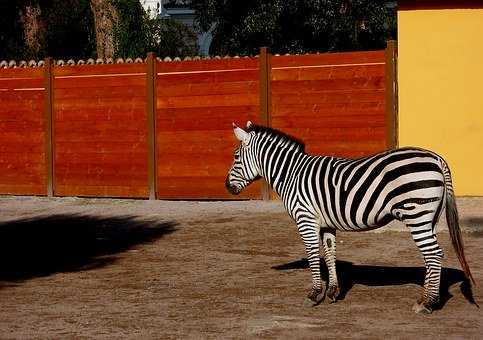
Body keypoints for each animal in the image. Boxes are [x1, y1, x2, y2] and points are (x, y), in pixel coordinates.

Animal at [225, 121, 474, 314]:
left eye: (236, 157)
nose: (227, 187)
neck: (292, 175)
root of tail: (437, 158)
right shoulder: (326, 224)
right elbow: (329, 253)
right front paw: (333, 292)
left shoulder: (306, 218)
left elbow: (313, 255)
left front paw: (314, 294)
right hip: (428, 217)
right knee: (432, 256)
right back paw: (428, 298)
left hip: (416, 214)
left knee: (434, 254)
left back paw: (427, 303)